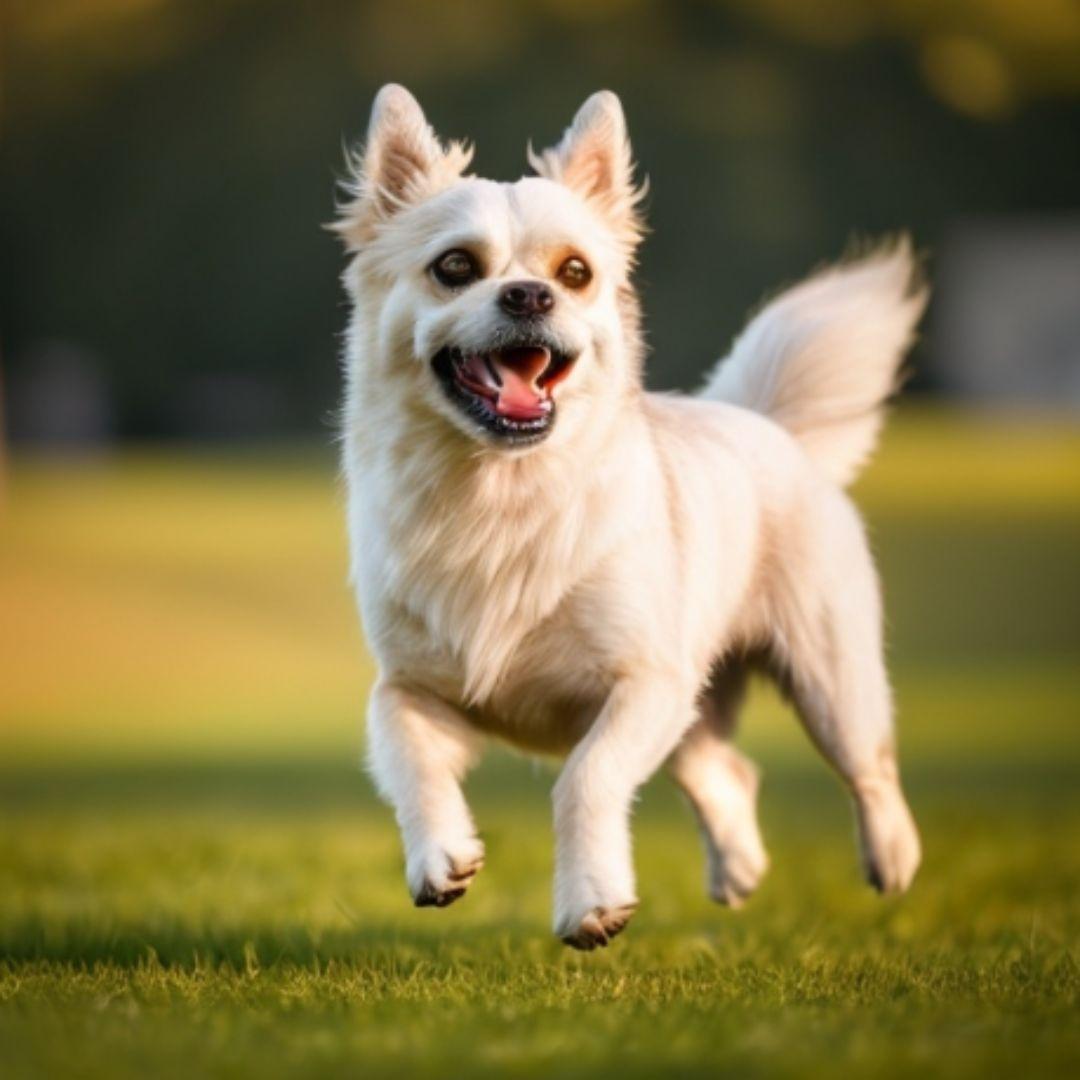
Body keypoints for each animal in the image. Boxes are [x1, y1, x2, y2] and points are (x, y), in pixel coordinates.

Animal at [332, 84, 924, 950]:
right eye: (455, 268)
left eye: (575, 273)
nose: (529, 293)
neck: (500, 492)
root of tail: (765, 423)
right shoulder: (408, 687)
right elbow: (408, 758)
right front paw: (440, 855)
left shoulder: (643, 685)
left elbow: (587, 776)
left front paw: (590, 902)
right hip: (695, 704)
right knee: (725, 770)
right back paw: (739, 869)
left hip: (827, 679)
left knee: (870, 769)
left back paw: (892, 860)